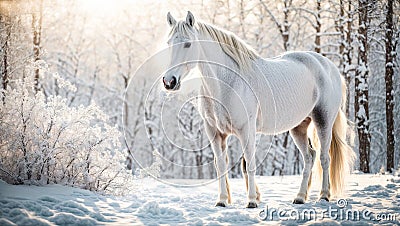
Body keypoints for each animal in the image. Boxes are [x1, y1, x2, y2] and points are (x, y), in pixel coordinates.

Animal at [162, 11, 356, 207]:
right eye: (168, 43)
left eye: (188, 44)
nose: (169, 81)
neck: (228, 83)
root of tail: (329, 67)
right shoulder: (215, 133)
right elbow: (221, 166)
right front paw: (222, 200)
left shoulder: (247, 130)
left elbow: (249, 163)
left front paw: (252, 201)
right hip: (299, 127)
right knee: (309, 157)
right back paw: (300, 197)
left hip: (323, 121)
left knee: (325, 157)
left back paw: (324, 196)